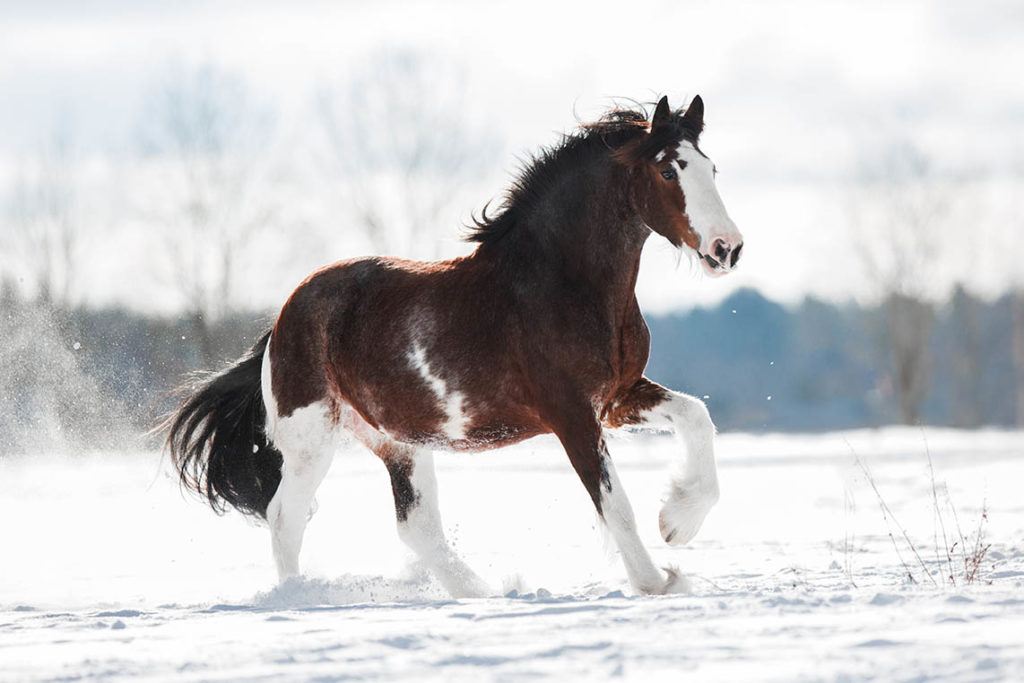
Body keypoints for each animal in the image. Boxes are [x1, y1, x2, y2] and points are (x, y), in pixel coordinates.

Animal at [165, 93, 745, 593]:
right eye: (668, 170)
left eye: (712, 168)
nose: (728, 248)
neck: (560, 282)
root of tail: (281, 322)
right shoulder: (572, 413)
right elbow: (614, 502)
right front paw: (658, 580)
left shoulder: (616, 399)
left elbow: (696, 416)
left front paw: (678, 521)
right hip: (312, 438)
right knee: (286, 515)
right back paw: (299, 598)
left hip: (398, 440)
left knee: (416, 527)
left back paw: (485, 593)